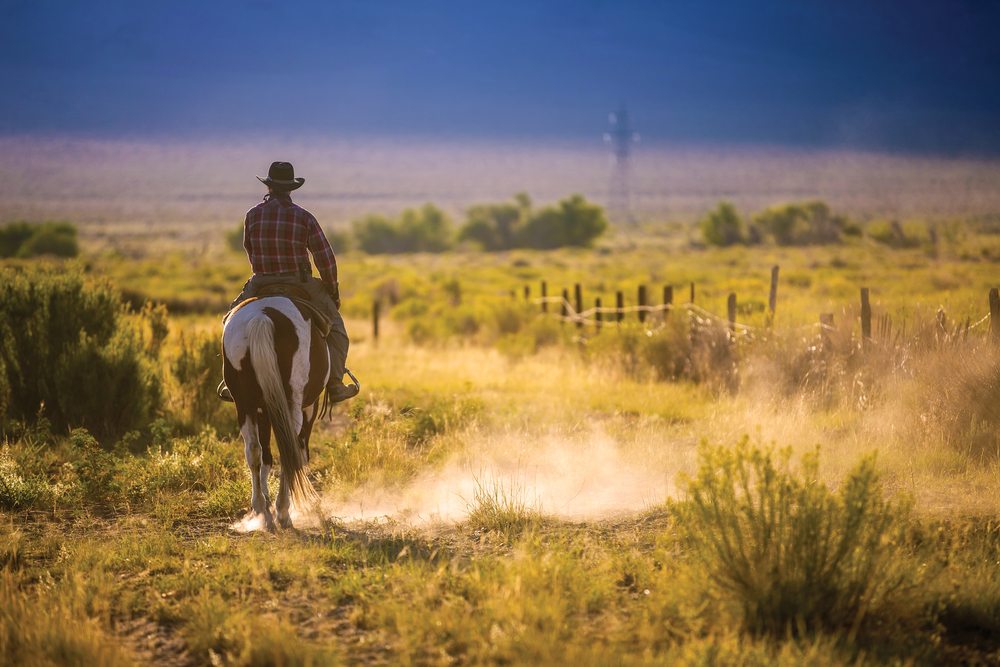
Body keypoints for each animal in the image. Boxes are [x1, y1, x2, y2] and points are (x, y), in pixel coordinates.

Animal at [222, 298, 328, 532]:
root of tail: (261, 317)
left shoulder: (263, 409)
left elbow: (266, 455)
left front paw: (265, 500)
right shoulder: (309, 407)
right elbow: (299, 452)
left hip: (244, 405)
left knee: (253, 450)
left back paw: (262, 510)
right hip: (292, 404)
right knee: (289, 448)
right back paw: (283, 512)